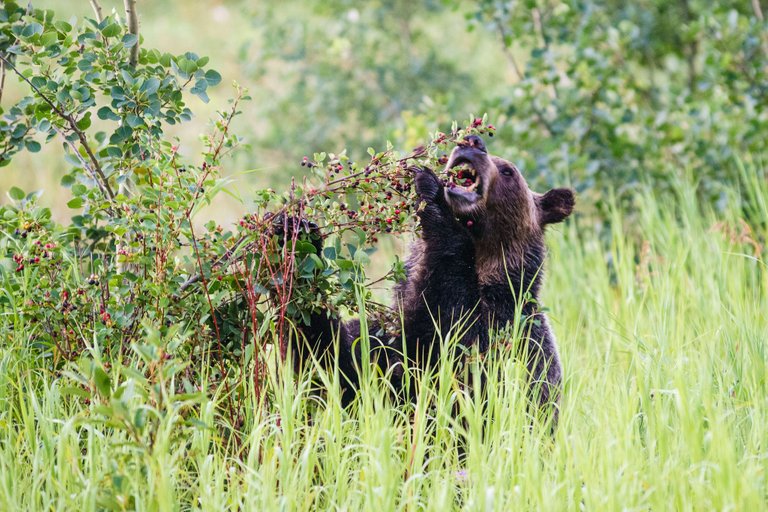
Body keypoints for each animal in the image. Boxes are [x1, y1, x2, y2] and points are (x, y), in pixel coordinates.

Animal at [294, 134, 576, 418]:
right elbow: (335, 364)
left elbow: (452, 333)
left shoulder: (501, 333)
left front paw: (431, 191)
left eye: (509, 171)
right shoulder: (384, 335)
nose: (473, 142)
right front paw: (299, 238)